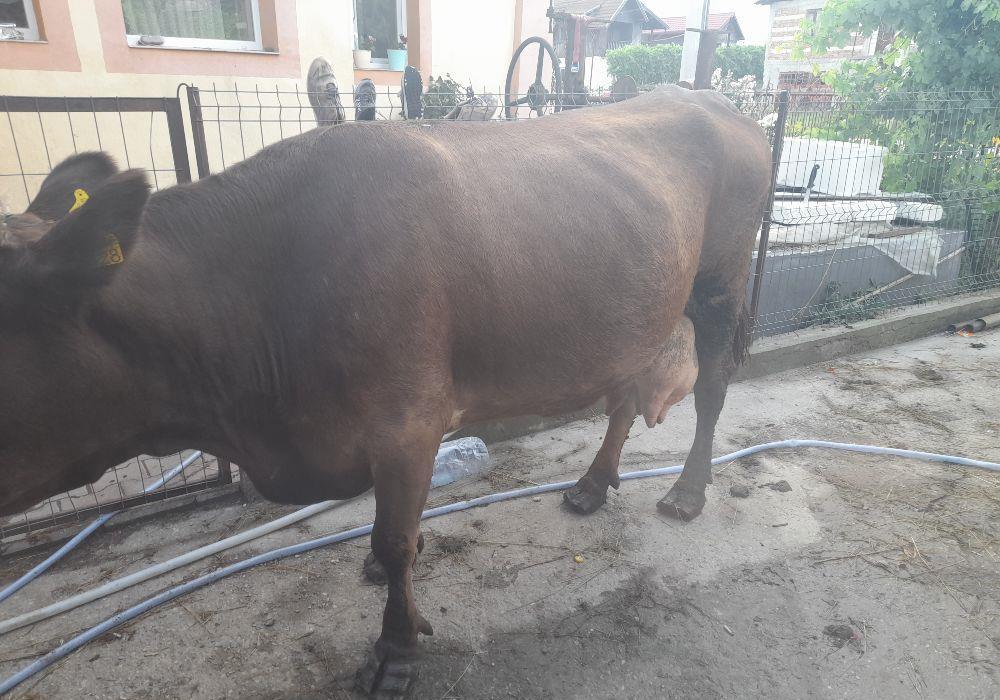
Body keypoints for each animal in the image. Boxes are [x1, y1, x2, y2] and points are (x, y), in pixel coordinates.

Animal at [0, 85, 771, 697]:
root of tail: (718, 102)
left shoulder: (408, 419)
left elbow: (394, 537)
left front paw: (394, 651)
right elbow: (395, 528)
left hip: (722, 281)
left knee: (712, 391)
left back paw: (687, 492)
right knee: (624, 393)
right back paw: (591, 483)